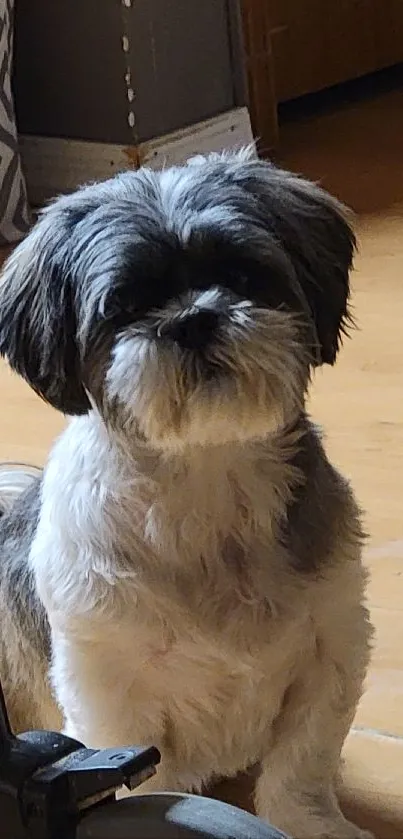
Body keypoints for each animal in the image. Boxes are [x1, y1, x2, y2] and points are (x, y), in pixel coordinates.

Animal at [0, 153, 376, 839]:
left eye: (242, 274)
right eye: (124, 306)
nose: (194, 319)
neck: (204, 484)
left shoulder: (332, 646)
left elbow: (300, 765)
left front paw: (313, 823)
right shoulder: (110, 693)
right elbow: (149, 786)